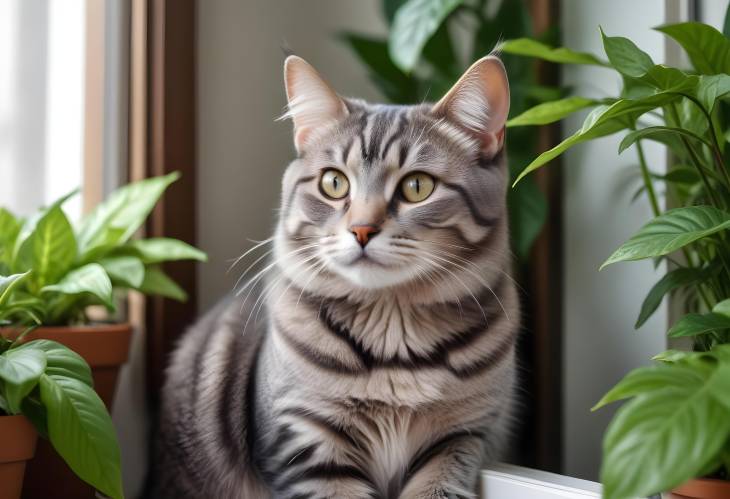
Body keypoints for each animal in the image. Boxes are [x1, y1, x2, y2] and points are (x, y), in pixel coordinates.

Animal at [155, 54, 516, 499]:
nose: (361, 230)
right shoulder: (306, 440)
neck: (394, 340)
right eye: (333, 182)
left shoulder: (462, 437)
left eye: (417, 186)